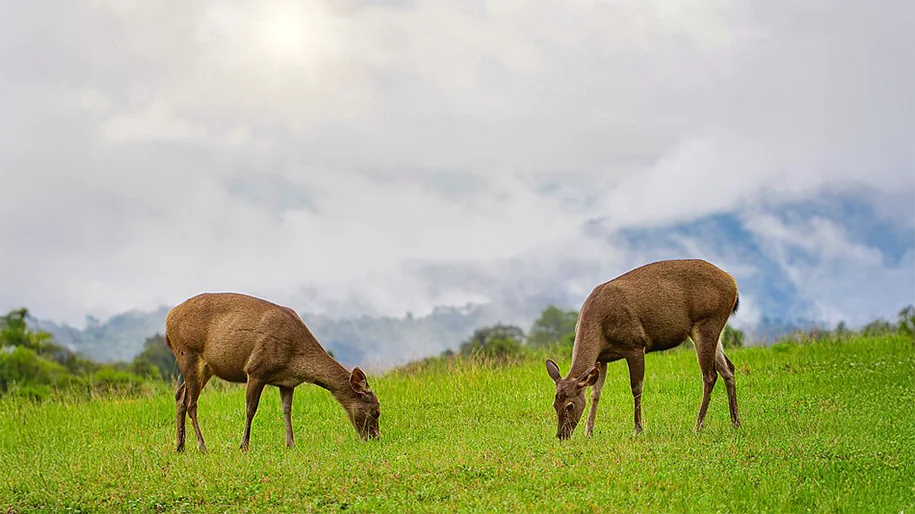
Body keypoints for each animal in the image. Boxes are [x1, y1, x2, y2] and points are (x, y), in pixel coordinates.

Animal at [164, 290, 380, 450]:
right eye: (376, 411)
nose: (375, 438)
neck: (294, 359)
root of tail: (168, 319)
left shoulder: (287, 383)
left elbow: (287, 409)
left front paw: (291, 443)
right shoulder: (256, 369)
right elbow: (250, 409)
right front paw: (244, 446)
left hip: (206, 367)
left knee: (179, 395)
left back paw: (180, 446)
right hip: (188, 352)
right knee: (191, 402)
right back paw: (202, 446)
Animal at [548, 258, 740, 438]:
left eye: (570, 405)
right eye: (554, 404)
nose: (561, 435)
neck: (599, 329)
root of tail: (733, 284)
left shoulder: (635, 344)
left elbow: (636, 387)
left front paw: (637, 429)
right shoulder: (602, 358)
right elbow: (596, 392)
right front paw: (589, 432)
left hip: (708, 321)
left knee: (710, 375)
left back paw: (698, 426)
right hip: (710, 330)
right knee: (728, 369)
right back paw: (736, 422)